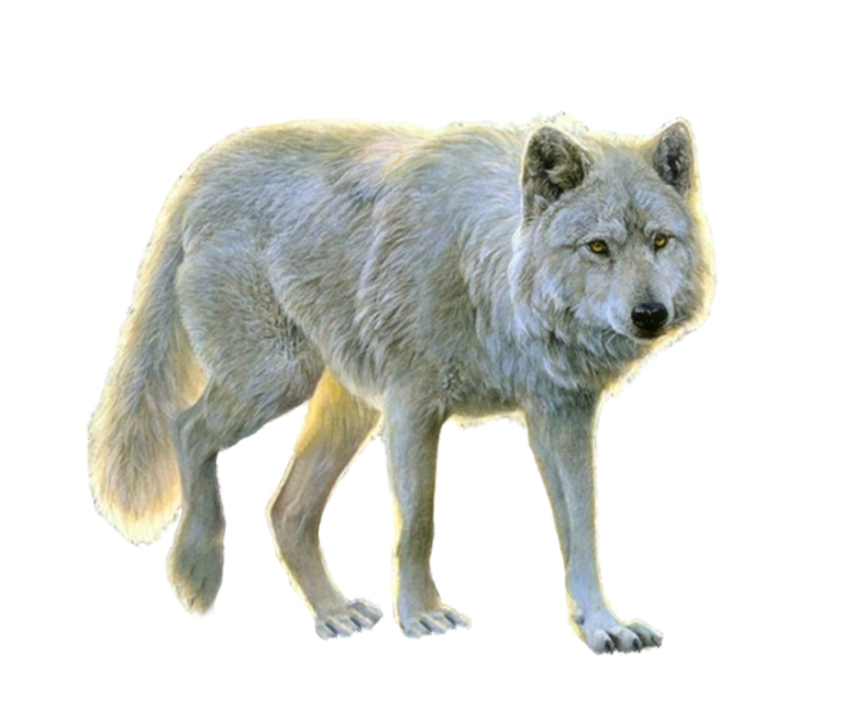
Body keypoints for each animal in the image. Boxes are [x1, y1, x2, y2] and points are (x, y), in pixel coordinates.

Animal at [89, 115, 714, 654]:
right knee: (186, 428)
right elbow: (419, 524)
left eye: (660, 241)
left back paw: (333, 612)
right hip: (275, 379)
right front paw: (420, 614)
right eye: (598, 247)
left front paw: (603, 625)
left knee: (285, 510)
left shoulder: (561, 414)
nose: (649, 315)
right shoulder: (413, 406)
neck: (485, 273)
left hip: (345, 410)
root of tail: (204, 169)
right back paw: (197, 569)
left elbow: (582, 529)